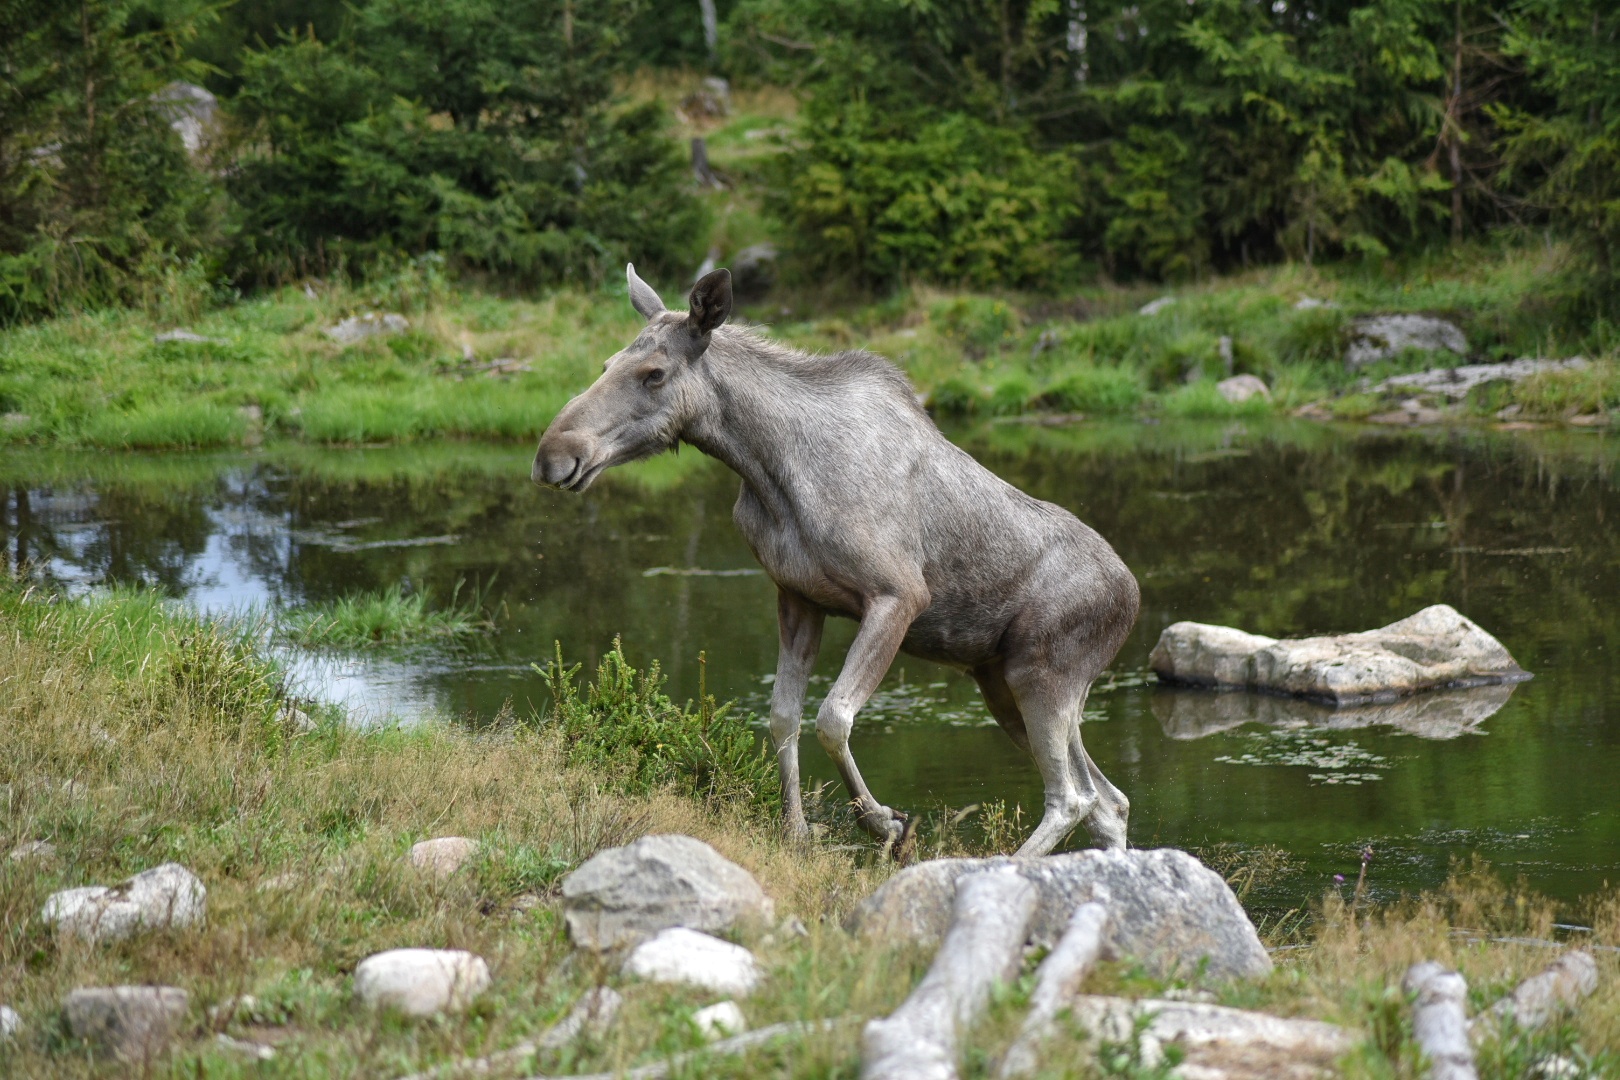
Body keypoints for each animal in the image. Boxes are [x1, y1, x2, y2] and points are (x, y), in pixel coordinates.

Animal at [531, 263, 1140, 854]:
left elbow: (833, 717)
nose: (552, 455)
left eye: (654, 373)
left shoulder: (897, 595)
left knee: (1072, 798)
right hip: (1002, 683)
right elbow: (783, 717)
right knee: (1109, 800)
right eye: (607, 363)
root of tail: (1132, 599)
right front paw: (798, 830)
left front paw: (883, 822)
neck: (767, 467)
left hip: (1044, 675)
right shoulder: (798, 596)